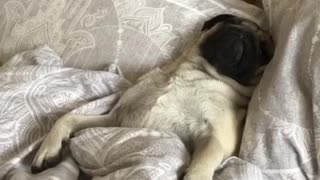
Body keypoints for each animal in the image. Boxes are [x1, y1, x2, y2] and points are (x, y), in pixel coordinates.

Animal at [31, 14, 274, 180]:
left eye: (264, 50)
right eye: (232, 22)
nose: (244, 33)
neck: (192, 74)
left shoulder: (214, 136)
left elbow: (206, 158)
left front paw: (195, 174)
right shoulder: (115, 121)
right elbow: (68, 118)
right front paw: (49, 148)